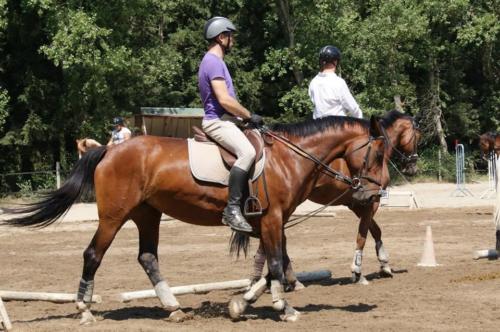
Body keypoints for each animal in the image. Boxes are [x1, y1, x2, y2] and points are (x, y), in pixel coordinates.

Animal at [1, 115, 386, 322]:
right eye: (379, 153)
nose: (373, 193)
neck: (290, 159)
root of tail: (110, 149)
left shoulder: (268, 222)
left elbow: (270, 266)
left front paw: (241, 303)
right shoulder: (273, 219)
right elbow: (276, 263)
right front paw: (283, 307)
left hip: (147, 214)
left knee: (147, 256)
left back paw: (172, 307)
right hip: (114, 215)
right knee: (93, 254)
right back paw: (84, 309)